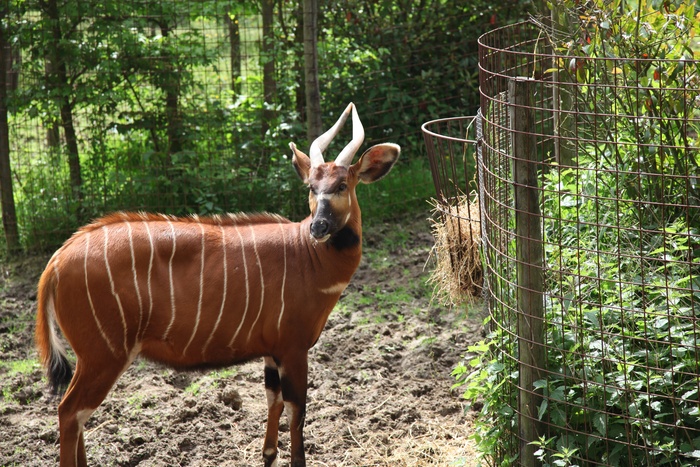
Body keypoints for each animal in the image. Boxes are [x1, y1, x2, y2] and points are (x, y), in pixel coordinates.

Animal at [37, 103, 400, 467]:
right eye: (312, 187)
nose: (319, 226)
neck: (308, 256)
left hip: (95, 357)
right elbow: (297, 412)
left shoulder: (273, 352)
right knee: (70, 411)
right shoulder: (293, 348)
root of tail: (57, 260)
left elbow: (273, 407)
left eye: (342, 186)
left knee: (76, 415)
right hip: (104, 355)